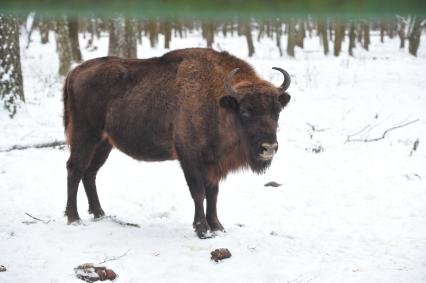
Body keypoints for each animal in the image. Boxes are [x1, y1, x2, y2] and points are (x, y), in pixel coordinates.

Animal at [63, 47, 292, 239]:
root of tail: (75, 71)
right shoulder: (189, 157)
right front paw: (202, 229)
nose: (269, 148)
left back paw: (99, 214)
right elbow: (198, 193)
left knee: (90, 173)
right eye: (245, 111)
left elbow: (213, 194)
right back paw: (74, 218)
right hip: (85, 136)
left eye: (276, 111)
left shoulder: (213, 164)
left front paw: (217, 227)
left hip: (104, 143)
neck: (217, 103)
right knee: (75, 169)